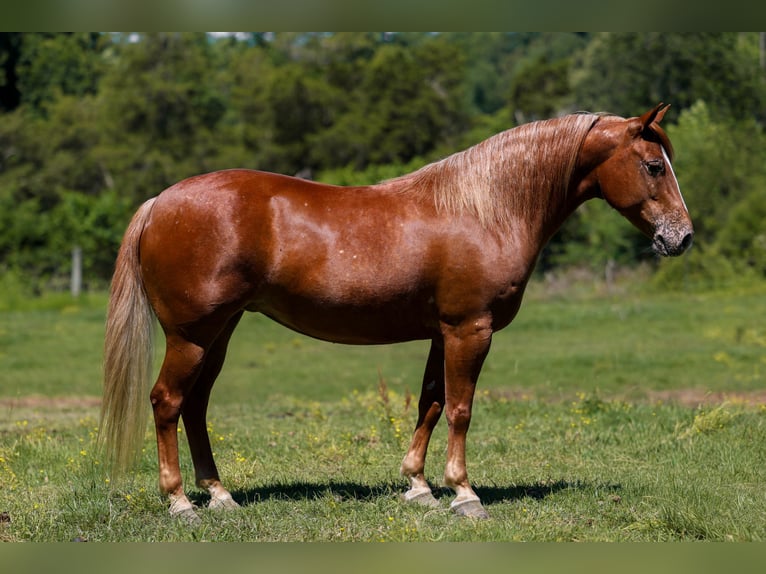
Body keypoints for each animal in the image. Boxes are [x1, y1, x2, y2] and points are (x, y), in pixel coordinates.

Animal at [99, 104, 693, 522]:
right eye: (652, 166)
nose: (682, 238)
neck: (484, 209)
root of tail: (160, 202)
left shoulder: (442, 333)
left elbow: (430, 402)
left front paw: (418, 487)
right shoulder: (470, 330)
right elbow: (460, 409)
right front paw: (464, 494)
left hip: (219, 333)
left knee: (195, 406)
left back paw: (219, 496)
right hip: (191, 335)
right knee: (167, 402)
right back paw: (179, 503)